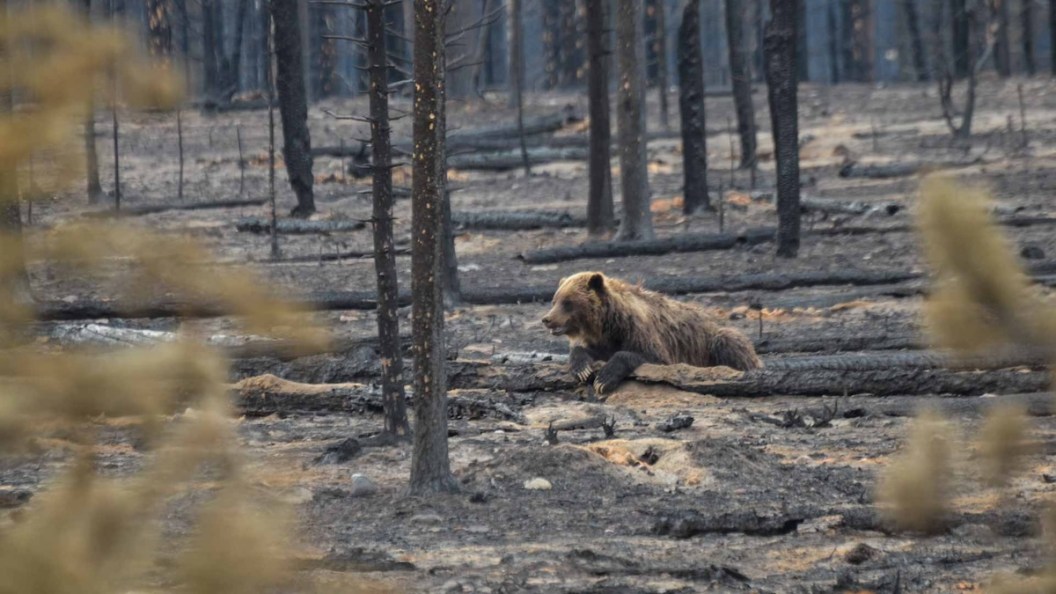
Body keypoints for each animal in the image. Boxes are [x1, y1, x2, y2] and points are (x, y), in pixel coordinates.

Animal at [541, 271, 762, 394]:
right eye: (554, 300)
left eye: (568, 302)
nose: (547, 319)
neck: (606, 324)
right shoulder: (600, 341)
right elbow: (585, 352)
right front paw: (582, 369)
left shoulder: (638, 332)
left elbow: (649, 356)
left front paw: (603, 379)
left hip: (713, 340)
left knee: (729, 342)